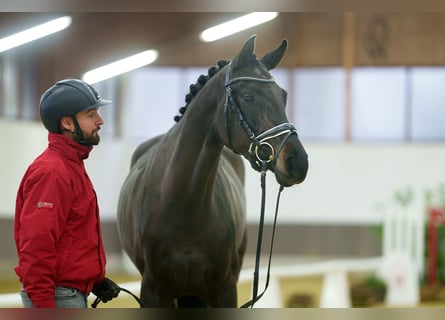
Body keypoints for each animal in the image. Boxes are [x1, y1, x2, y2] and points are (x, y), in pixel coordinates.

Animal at [116, 35, 306, 308]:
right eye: (248, 97)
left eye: (284, 96)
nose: (297, 162)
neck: (182, 203)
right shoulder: (153, 292)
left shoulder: (225, 289)